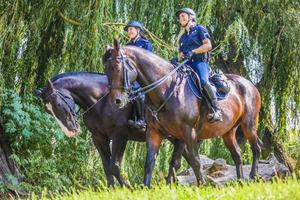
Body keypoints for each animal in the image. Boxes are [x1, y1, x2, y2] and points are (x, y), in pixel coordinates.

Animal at [32, 72, 190, 188]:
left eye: (57, 104)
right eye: (48, 110)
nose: (70, 131)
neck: (101, 100)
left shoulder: (120, 135)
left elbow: (114, 166)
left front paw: (129, 187)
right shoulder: (98, 137)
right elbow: (107, 166)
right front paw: (111, 190)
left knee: (176, 162)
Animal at [103, 38, 262, 188]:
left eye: (117, 68)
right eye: (105, 71)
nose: (115, 101)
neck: (166, 89)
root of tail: (249, 83)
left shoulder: (188, 131)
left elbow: (193, 160)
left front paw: (202, 185)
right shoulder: (155, 132)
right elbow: (151, 163)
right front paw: (148, 188)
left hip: (248, 125)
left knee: (256, 147)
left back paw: (254, 176)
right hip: (228, 131)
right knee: (237, 154)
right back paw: (240, 181)